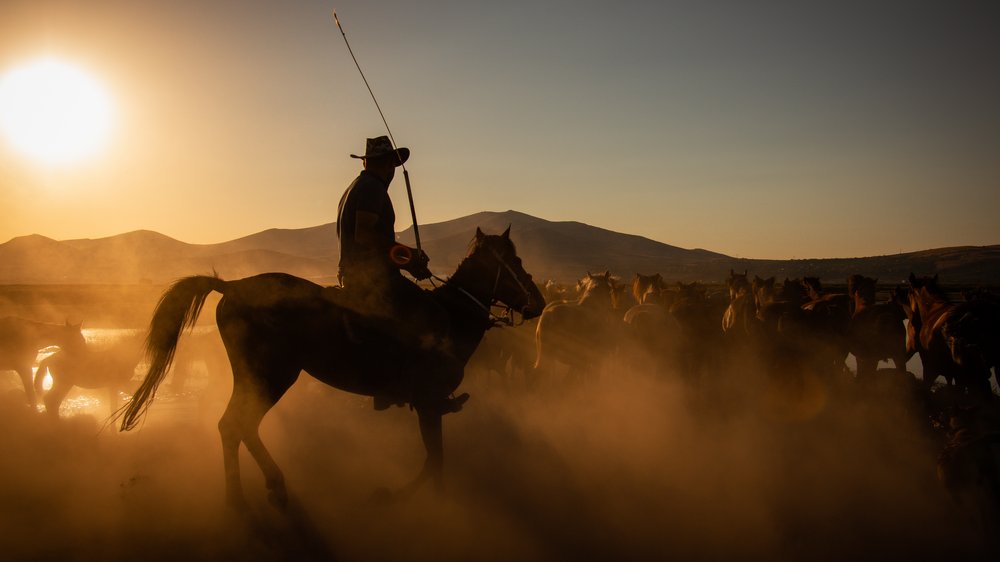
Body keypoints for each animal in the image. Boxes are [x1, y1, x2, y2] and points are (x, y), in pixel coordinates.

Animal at [117, 228, 548, 508]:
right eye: (514, 260)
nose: (538, 303)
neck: (452, 317)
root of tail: (232, 286)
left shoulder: (432, 406)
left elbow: (437, 461)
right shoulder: (429, 403)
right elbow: (434, 460)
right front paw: (397, 496)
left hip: (260, 379)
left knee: (237, 427)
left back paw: (260, 488)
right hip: (272, 377)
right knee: (235, 425)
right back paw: (250, 493)